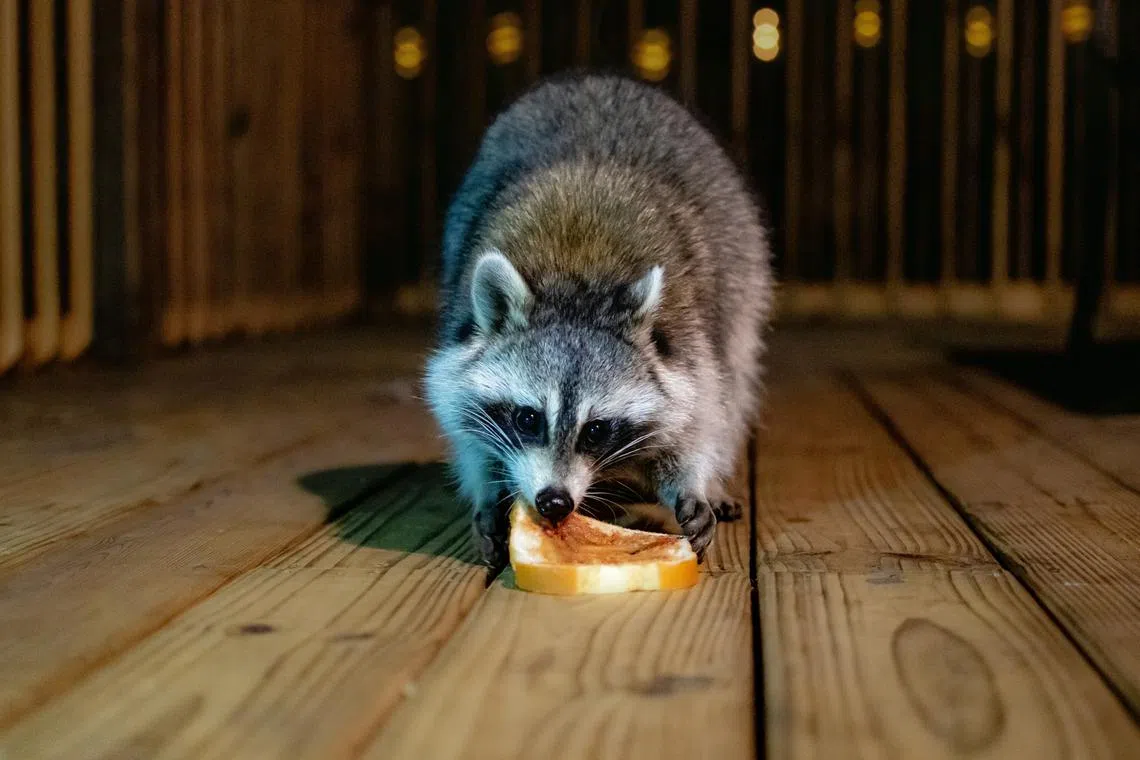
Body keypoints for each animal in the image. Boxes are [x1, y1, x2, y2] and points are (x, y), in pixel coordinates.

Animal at [424, 72, 773, 569]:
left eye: (596, 431)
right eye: (528, 418)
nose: (554, 502)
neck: (576, 285)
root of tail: (594, 79)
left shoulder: (687, 342)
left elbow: (698, 412)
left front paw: (691, 481)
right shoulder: (459, 343)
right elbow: (462, 417)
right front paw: (489, 492)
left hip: (743, 264)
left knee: (736, 377)